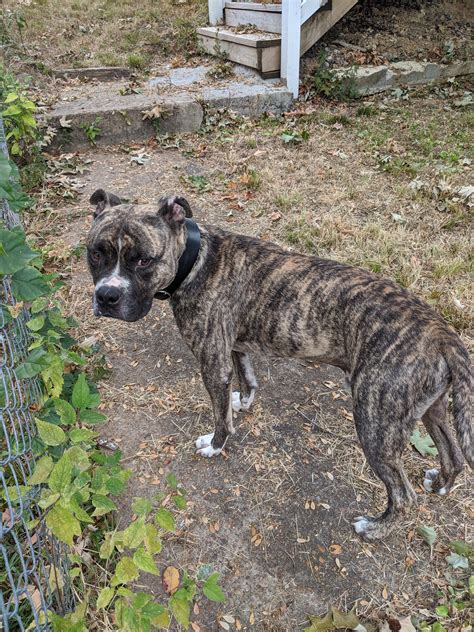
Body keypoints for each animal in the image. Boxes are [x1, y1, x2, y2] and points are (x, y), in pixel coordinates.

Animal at [87, 190, 472, 540]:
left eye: (143, 261)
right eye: (95, 254)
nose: (107, 296)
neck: (195, 259)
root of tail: (442, 333)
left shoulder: (212, 365)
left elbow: (220, 416)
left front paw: (216, 444)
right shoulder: (235, 348)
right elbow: (247, 379)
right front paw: (243, 402)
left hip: (375, 423)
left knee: (404, 495)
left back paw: (376, 528)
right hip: (430, 408)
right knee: (453, 455)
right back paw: (439, 484)